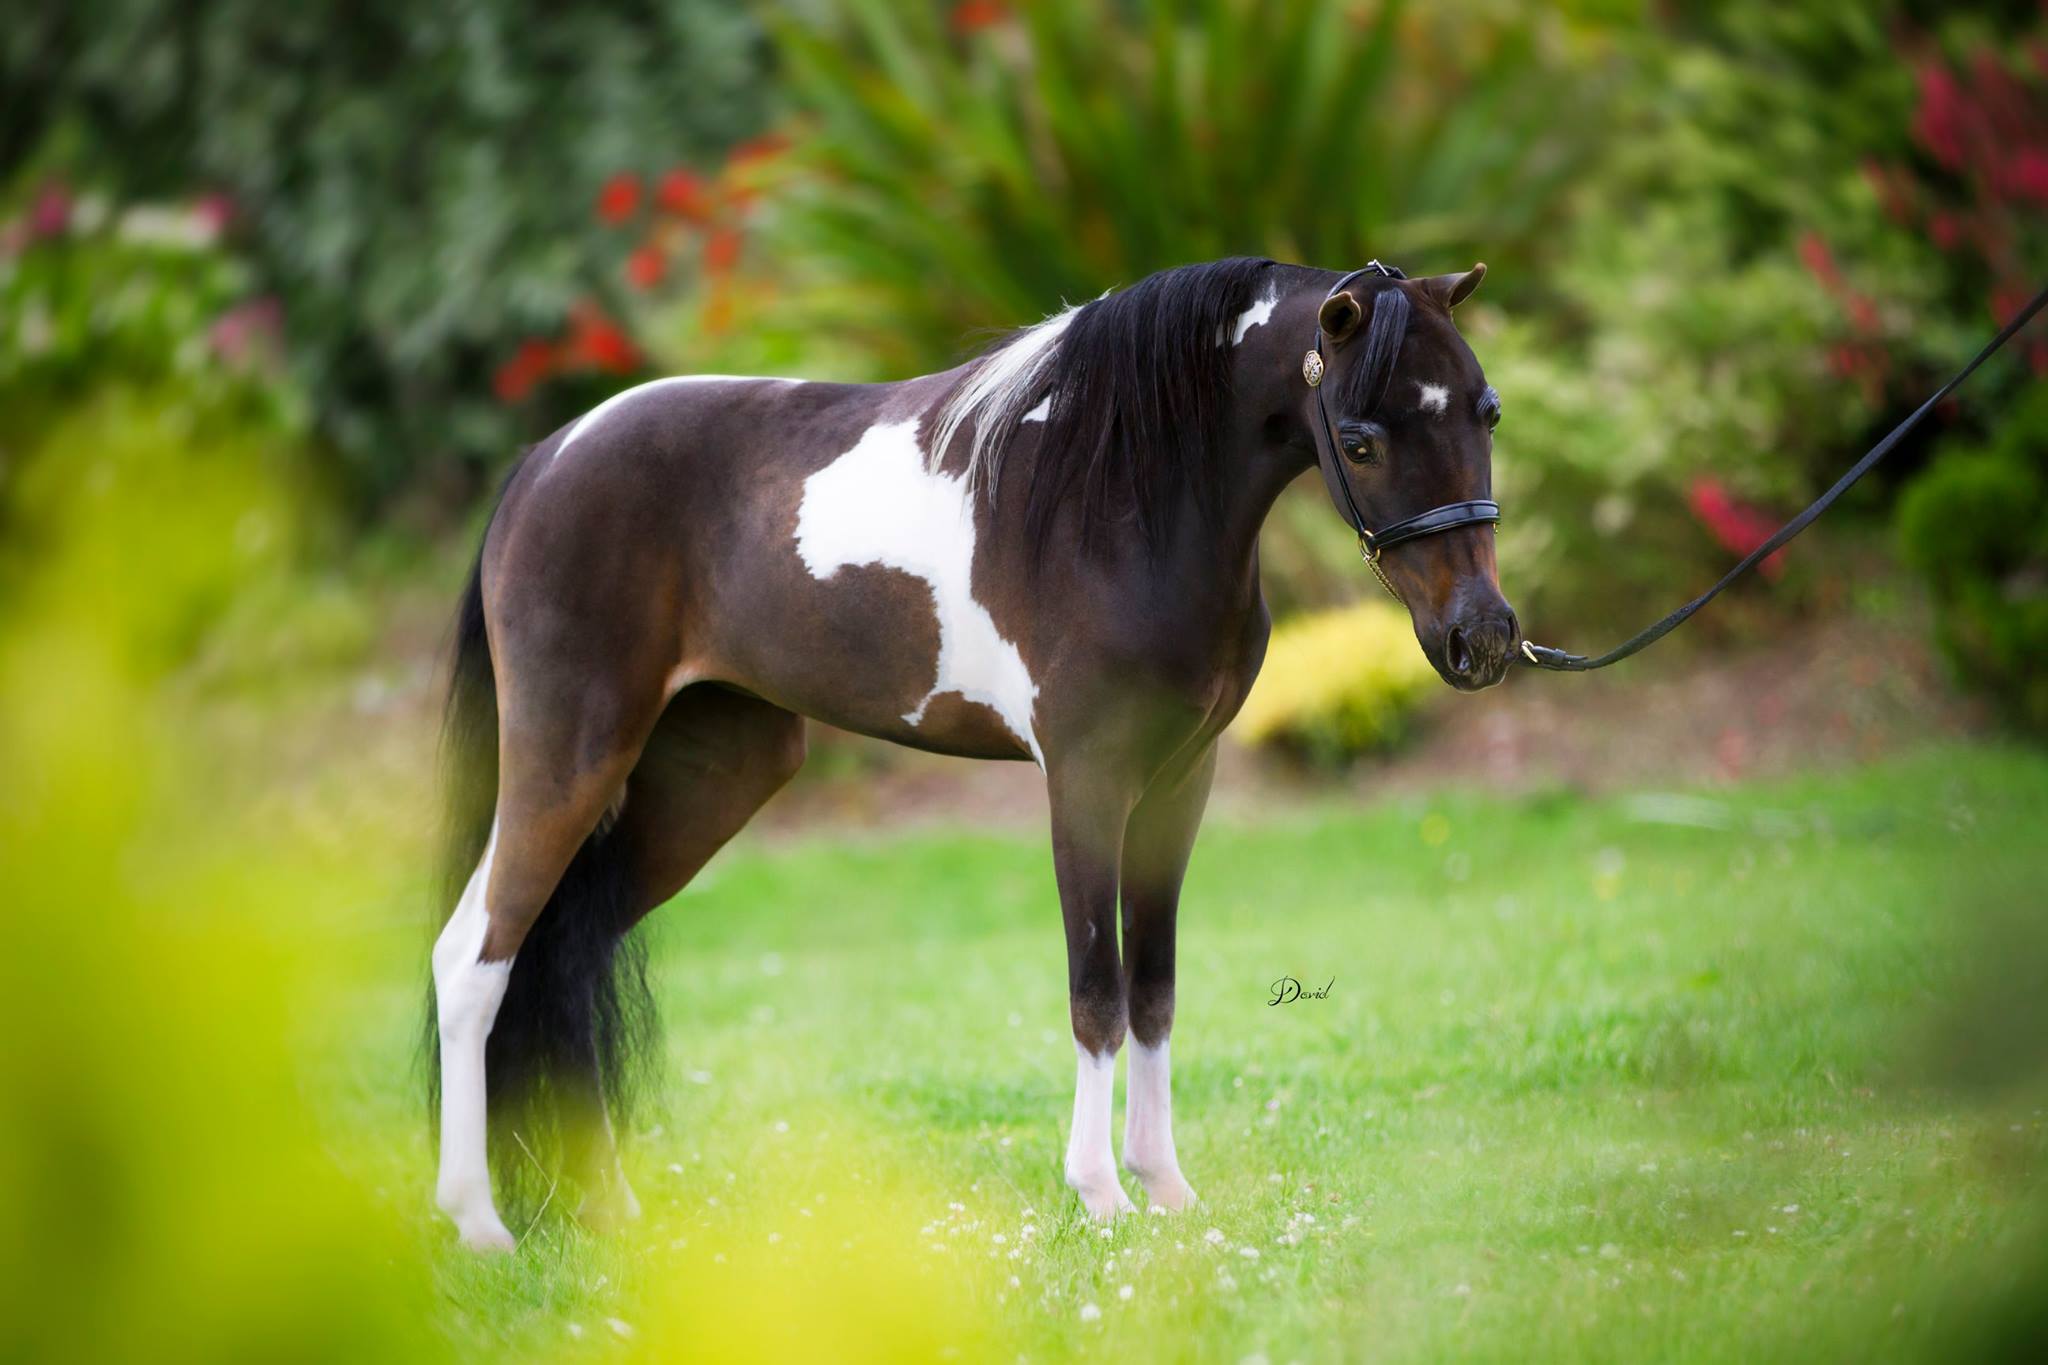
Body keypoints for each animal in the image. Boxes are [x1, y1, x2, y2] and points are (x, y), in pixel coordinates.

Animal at [428, 255, 1519, 1251]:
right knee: (474, 958)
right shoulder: (1086, 784)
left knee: (569, 955)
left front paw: (1165, 1188)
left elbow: (1154, 990)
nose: (1483, 637)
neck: (1115, 498)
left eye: (1487, 412)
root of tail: (545, 460)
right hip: (568, 758)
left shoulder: (1179, 785)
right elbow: (1097, 993)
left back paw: (606, 1207)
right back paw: (479, 1225)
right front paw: (1099, 1195)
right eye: (1360, 439)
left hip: (709, 775)